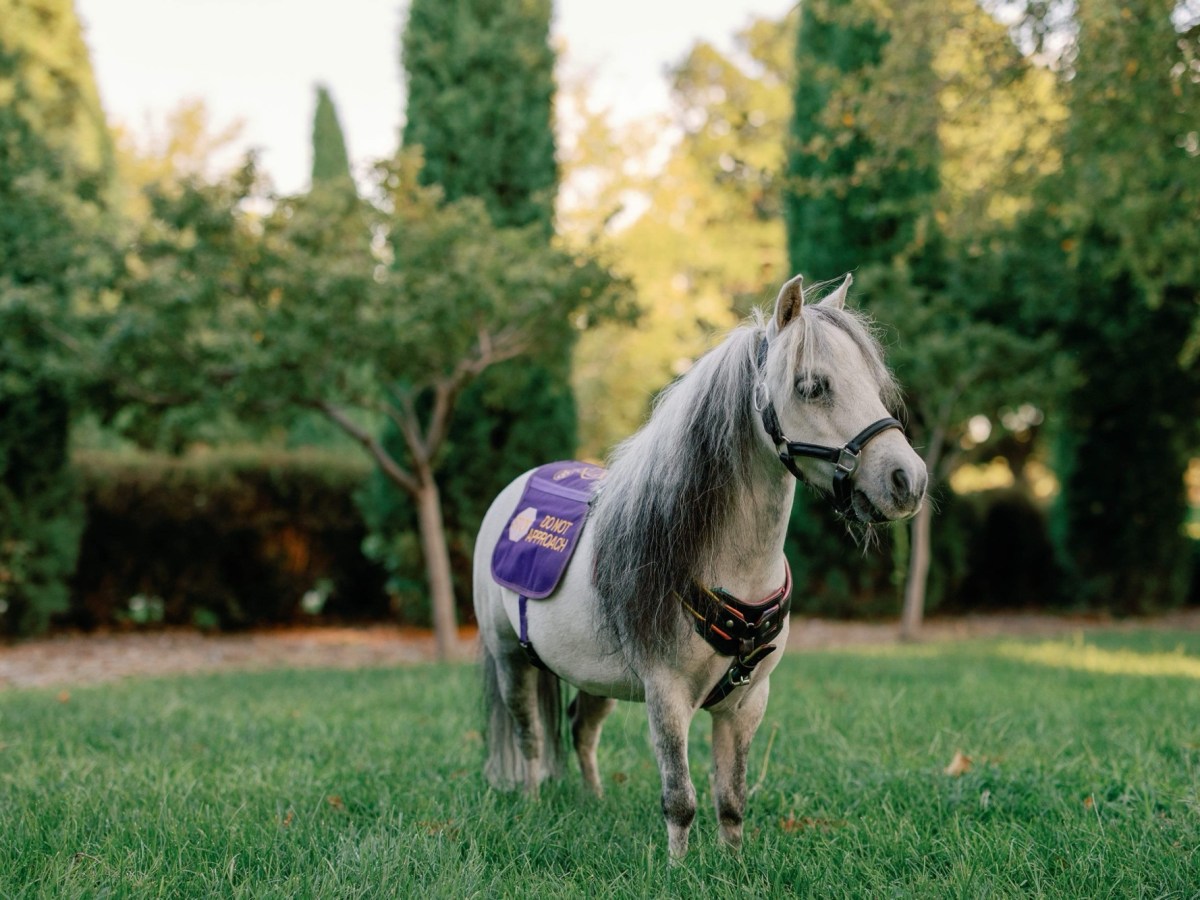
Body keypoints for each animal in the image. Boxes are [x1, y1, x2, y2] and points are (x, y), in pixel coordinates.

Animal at [472, 272, 927, 858]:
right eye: (812, 386)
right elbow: (680, 799)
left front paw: (733, 864)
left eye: (872, 383)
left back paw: (593, 803)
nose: (907, 481)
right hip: (512, 660)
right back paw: (531, 804)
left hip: (592, 677)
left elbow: (730, 799)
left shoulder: (748, 702)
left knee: (580, 730)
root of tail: (514, 492)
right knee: (528, 735)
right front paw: (677, 868)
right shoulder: (666, 696)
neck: (727, 571)